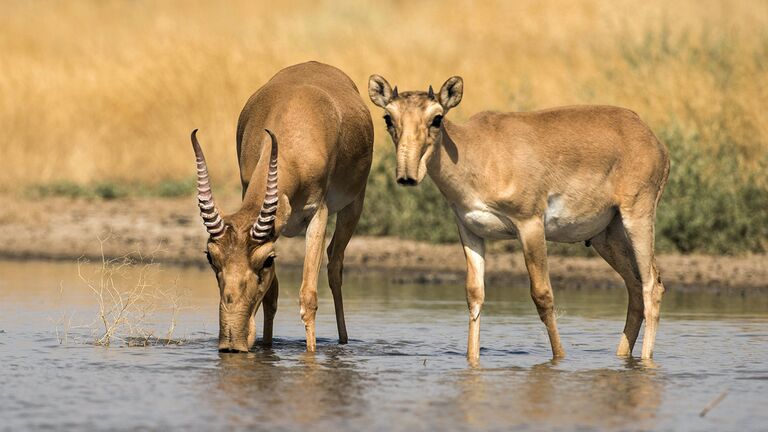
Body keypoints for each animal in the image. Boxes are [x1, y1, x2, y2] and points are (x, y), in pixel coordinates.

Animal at [191, 61, 372, 352]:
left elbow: (308, 296)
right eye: (211, 257)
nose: (232, 343)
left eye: (266, 260)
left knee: (335, 264)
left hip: (353, 206)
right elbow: (271, 297)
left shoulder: (318, 214)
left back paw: (343, 341)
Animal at [368, 75, 668, 362]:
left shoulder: (530, 225)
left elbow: (542, 295)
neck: (477, 151)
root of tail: (653, 140)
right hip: (605, 236)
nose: (407, 176)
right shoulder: (470, 230)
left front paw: (560, 358)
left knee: (652, 285)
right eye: (388, 117)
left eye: (437, 118)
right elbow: (474, 295)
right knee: (635, 286)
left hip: (637, 217)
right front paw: (472, 359)